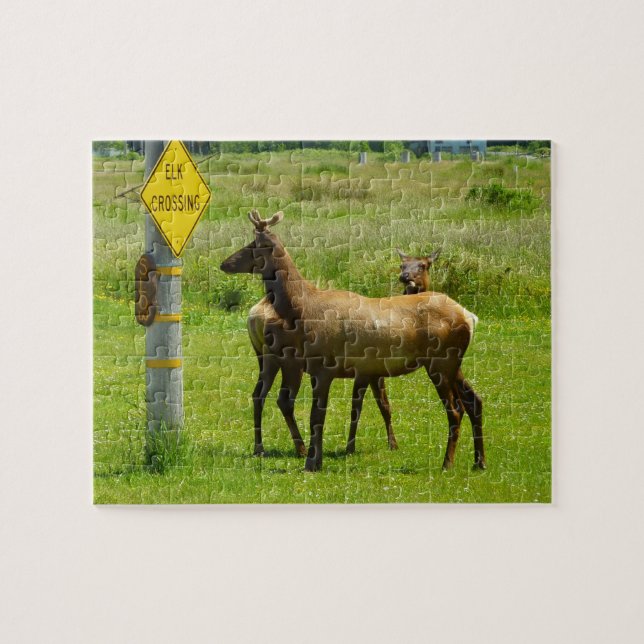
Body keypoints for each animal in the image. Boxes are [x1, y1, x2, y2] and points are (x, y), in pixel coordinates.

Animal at [221, 211, 485, 473]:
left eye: (254, 245)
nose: (224, 263)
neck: (302, 309)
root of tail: (469, 317)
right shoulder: (328, 369)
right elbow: (324, 415)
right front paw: (318, 459)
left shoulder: (325, 367)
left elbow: (317, 417)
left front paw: (312, 462)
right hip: (452, 364)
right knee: (474, 400)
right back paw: (479, 461)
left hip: (440, 362)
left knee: (456, 409)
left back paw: (447, 463)